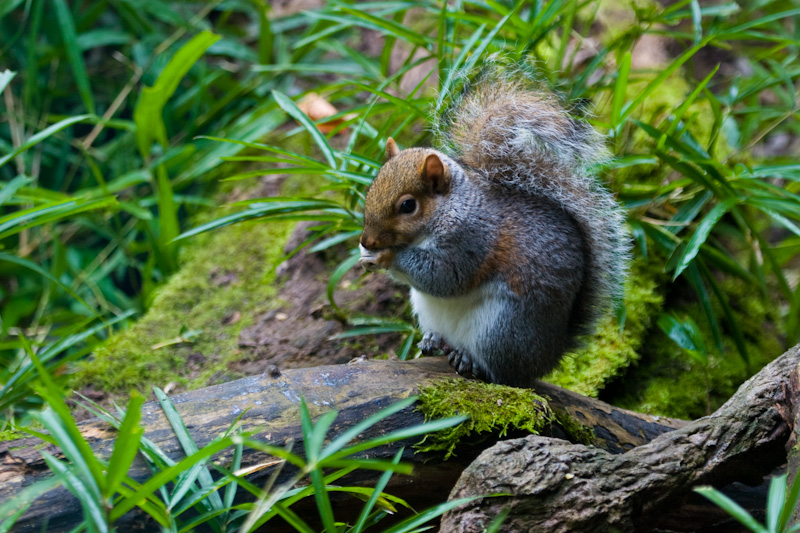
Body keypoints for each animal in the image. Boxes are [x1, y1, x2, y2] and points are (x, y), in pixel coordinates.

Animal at [360, 60, 628, 386]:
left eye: (408, 206)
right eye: (371, 187)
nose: (366, 240)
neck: (452, 208)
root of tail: (551, 355)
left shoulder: (472, 239)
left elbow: (444, 277)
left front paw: (387, 257)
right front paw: (366, 256)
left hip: (502, 330)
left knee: (503, 374)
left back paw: (470, 361)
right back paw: (434, 341)